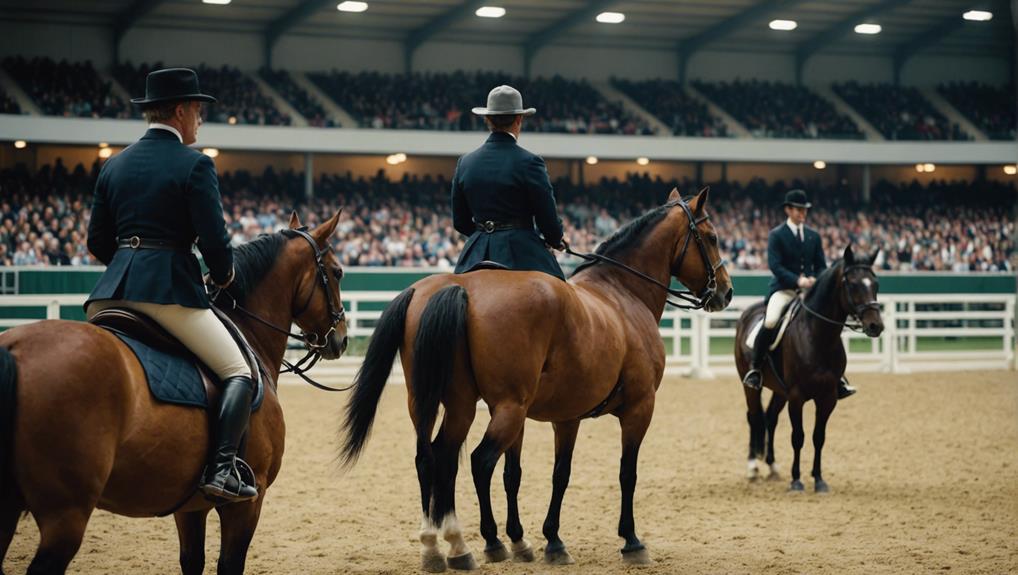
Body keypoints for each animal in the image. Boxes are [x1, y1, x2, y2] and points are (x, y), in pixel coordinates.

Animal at [0, 211, 348, 573]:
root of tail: (15, 346)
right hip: (66, 514)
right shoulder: (248, 503)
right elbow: (229, 564)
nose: (341, 338)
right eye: (337, 272)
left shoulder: (189, 506)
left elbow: (192, 560)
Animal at [342, 188, 732, 569]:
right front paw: (631, 541)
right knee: (476, 461)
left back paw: (439, 547)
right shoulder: (639, 407)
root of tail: (457, 288)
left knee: (433, 458)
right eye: (712, 237)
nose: (726, 292)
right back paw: (475, 543)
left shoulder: (564, 417)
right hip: (501, 408)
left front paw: (538, 540)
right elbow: (626, 473)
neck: (622, 294)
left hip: (442, 404)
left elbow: (539, 474)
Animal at [732, 244, 883, 490]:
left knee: (770, 418)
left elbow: (818, 437)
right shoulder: (797, 396)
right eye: (852, 284)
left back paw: (772, 467)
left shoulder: (828, 397)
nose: (875, 326)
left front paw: (819, 479)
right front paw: (796, 480)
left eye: (875, 283)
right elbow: (798, 437)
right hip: (751, 386)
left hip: (779, 390)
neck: (818, 336)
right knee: (754, 417)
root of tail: (747, 313)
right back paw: (753, 468)